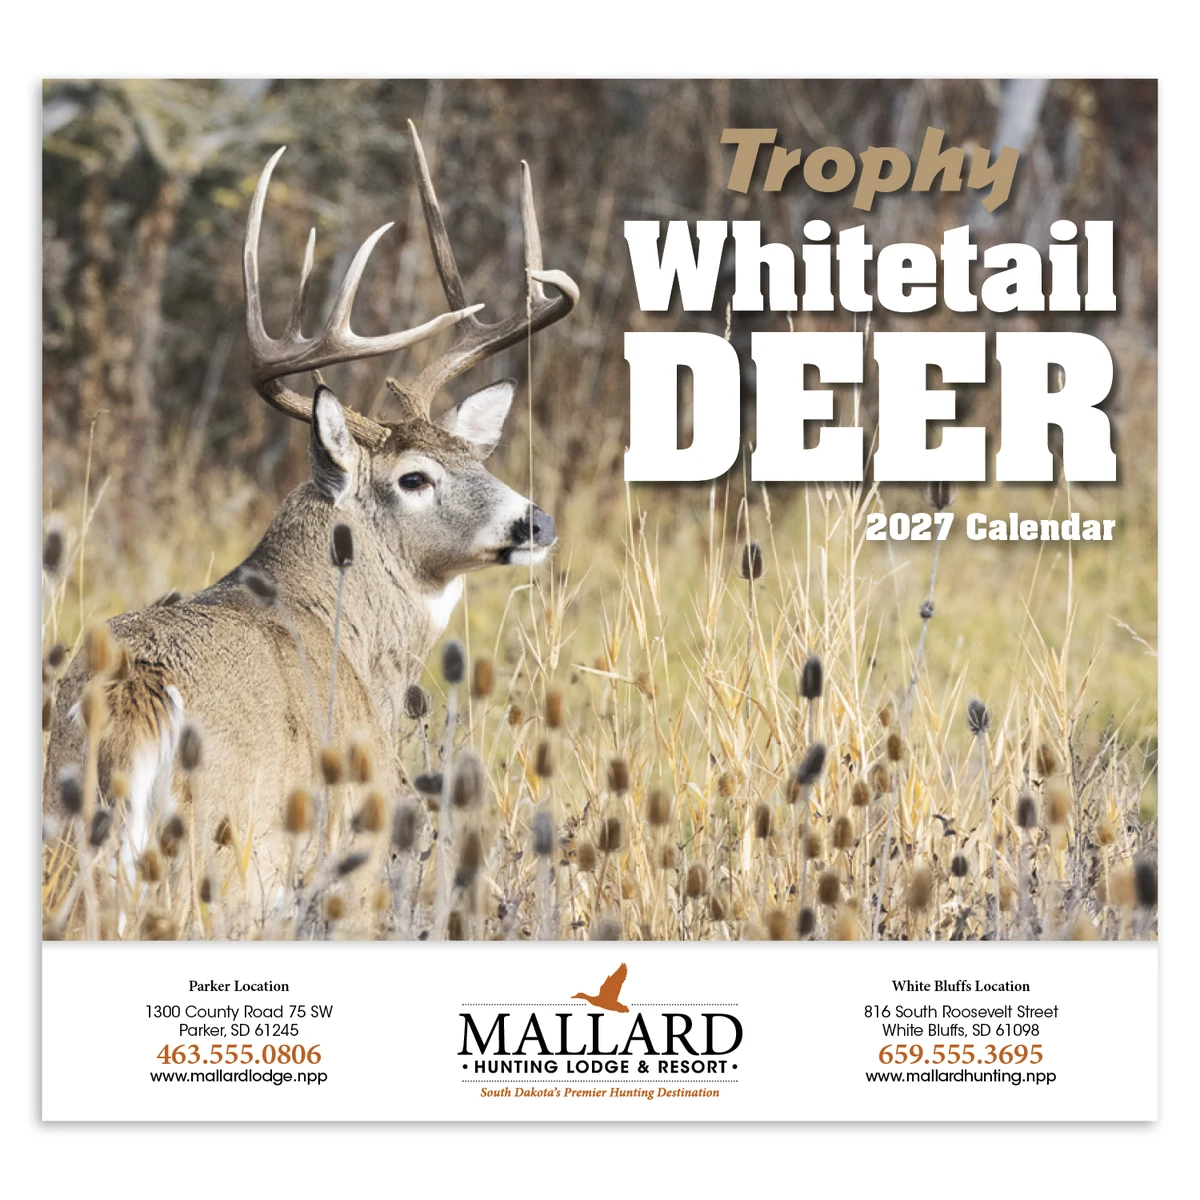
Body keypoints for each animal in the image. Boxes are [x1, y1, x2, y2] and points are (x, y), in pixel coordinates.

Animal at [43, 122, 578, 937]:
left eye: (472, 455)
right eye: (413, 478)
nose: (535, 520)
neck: (349, 638)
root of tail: (137, 689)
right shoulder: (351, 851)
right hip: (223, 862)